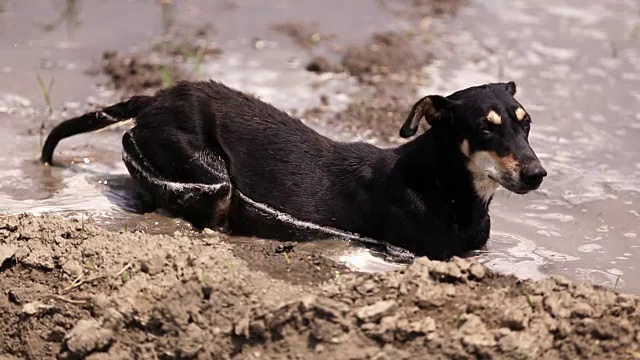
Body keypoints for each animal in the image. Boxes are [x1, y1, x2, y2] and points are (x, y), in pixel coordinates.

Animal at [42, 79, 548, 258]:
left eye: (526, 123)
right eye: (485, 129)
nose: (536, 174)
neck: (444, 185)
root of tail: (153, 99)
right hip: (207, 172)